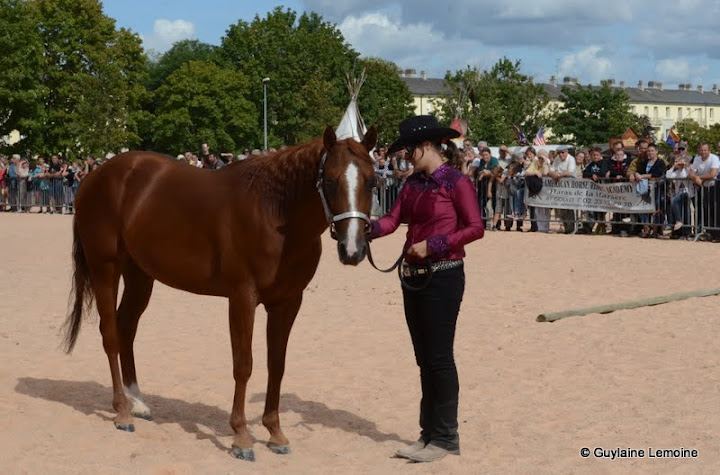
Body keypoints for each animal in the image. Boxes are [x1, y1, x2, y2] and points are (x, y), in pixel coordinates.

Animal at [62, 126, 380, 462]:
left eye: (372, 181)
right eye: (330, 181)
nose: (352, 249)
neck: (274, 214)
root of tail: (94, 176)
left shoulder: (288, 302)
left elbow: (276, 365)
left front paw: (275, 433)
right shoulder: (242, 297)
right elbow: (244, 364)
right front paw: (241, 437)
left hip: (139, 274)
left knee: (126, 328)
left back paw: (138, 402)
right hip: (105, 268)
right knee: (110, 333)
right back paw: (122, 411)